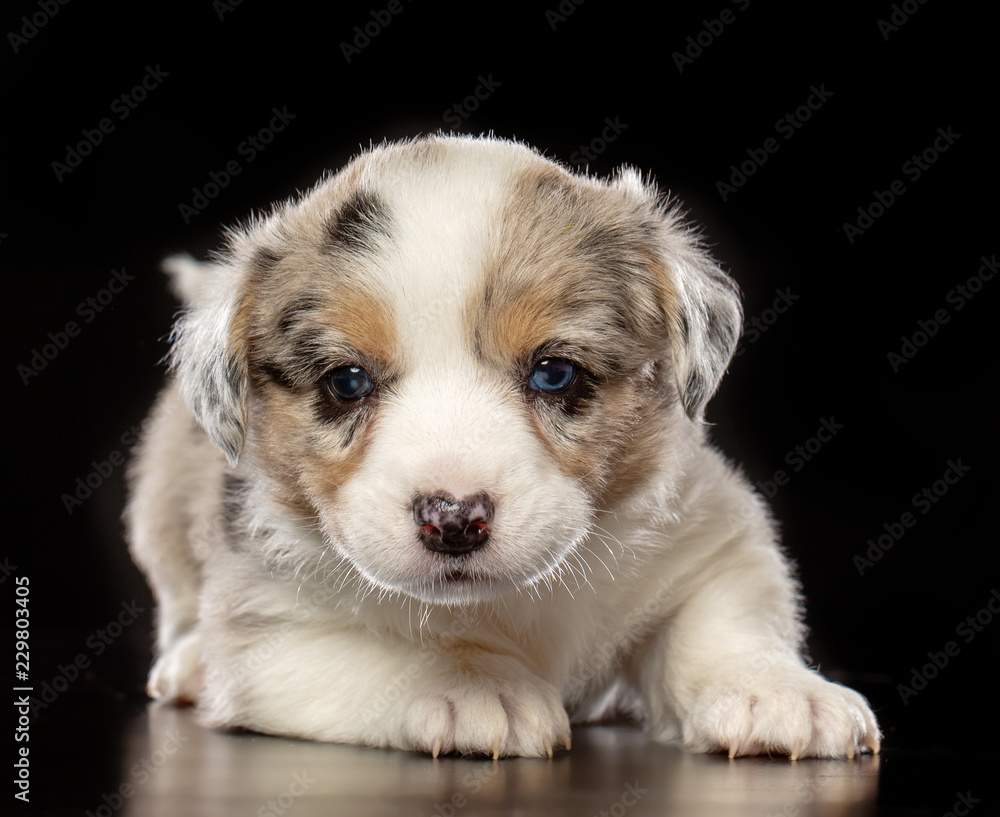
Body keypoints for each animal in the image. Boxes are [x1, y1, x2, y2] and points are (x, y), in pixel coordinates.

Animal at [127, 132, 884, 760]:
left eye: (554, 373)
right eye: (346, 382)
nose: (454, 518)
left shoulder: (714, 538)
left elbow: (723, 620)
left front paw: (777, 693)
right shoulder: (269, 630)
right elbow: (386, 648)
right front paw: (473, 685)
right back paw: (186, 662)